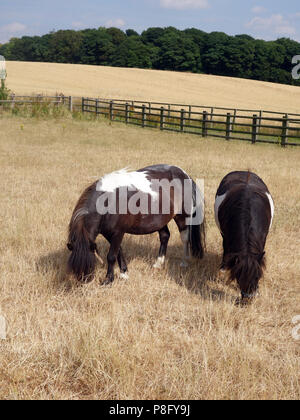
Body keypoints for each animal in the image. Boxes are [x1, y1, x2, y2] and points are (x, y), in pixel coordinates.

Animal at [67, 164, 205, 286]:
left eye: (88, 263)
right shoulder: (109, 233)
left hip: (182, 217)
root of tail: (184, 174)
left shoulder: (118, 232)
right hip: (159, 221)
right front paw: (124, 273)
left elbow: (111, 256)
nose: (83, 281)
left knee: (185, 239)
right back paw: (158, 264)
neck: (109, 200)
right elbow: (119, 251)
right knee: (165, 236)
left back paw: (184, 262)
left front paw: (108, 280)